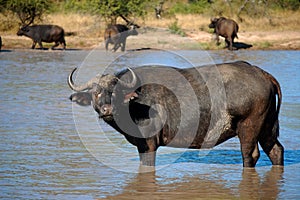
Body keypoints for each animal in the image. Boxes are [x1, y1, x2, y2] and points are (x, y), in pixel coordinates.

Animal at [68, 60, 284, 167]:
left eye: (116, 92)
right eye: (96, 92)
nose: (107, 110)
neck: (134, 104)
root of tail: (261, 73)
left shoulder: (148, 145)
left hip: (249, 127)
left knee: (250, 155)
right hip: (267, 127)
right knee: (276, 150)